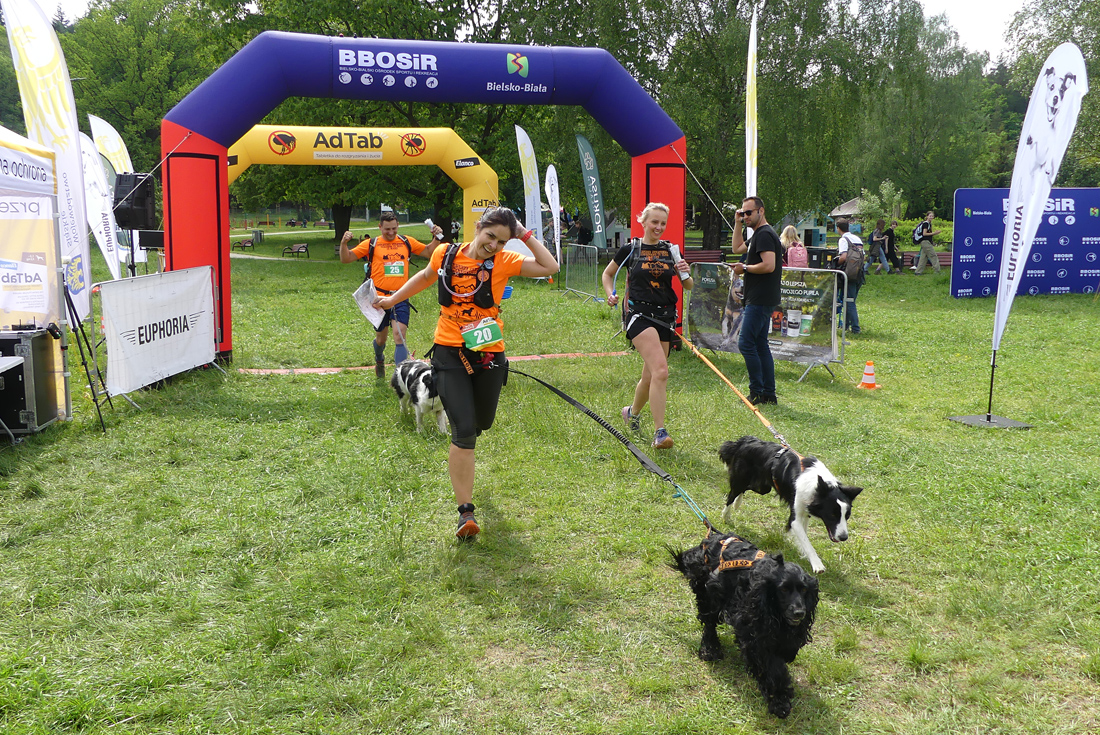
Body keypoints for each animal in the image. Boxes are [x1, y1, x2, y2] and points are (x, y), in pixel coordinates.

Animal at [670, 530, 818, 718]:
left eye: (804, 589)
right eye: (783, 589)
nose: (799, 612)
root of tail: (713, 539)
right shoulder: (752, 632)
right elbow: (773, 667)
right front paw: (779, 701)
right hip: (708, 593)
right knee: (709, 623)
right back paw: (710, 649)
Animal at [719, 436, 861, 574]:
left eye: (847, 516)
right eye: (832, 515)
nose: (844, 537)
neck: (818, 485)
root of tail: (744, 440)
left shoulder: (806, 510)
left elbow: (804, 536)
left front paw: (801, 551)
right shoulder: (795, 518)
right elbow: (806, 541)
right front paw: (817, 564)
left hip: (763, 487)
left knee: (746, 488)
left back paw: (737, 503)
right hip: (743, 480)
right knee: (732, 494)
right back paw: (725, 515)